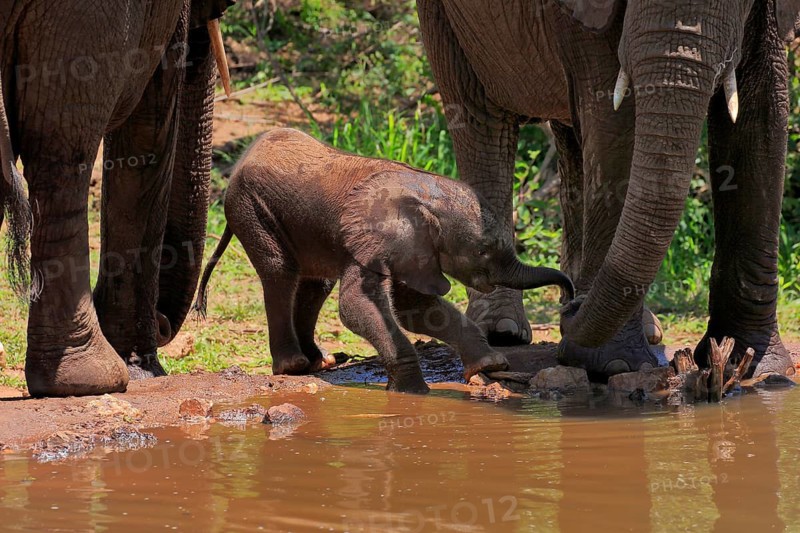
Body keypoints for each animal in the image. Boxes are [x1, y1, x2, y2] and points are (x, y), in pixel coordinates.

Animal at [192, 128, 574, 393]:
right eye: (483, 251)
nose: (569, 298)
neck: (425, 195)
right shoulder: (372, 242)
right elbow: (356, 306)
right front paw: (412, 393)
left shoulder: (412, 249)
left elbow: (416, 308)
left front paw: (489, 365)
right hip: (250, 207)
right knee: (280, 271)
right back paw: (294, 367)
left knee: (316, 283)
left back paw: (320, 362)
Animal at [417, 0, 799, 378]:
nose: (574, 304)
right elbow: (615, 116)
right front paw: (614, 365)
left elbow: (763, 112)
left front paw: (756, 366)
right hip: (443, 19)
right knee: (480, 120)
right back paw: (504, 330)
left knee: (569, 139)